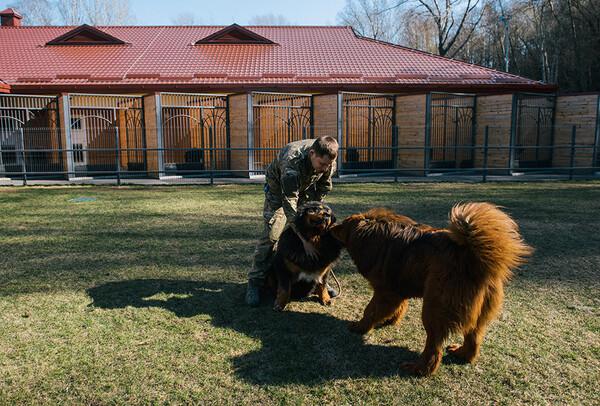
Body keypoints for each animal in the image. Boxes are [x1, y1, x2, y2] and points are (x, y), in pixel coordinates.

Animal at [330, 205, 532, 376]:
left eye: (343, 225)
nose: (331, 225)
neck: (374, 238)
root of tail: (471, 256)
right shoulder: (397, 289)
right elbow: (397, 308)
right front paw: (390, 320)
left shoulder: (385, 292)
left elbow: (370, 311)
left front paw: (360, 327)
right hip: (478, 312)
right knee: (473, 337)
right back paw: (462, 353)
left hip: (434, 307)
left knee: (434, 346)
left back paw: (417, 369)